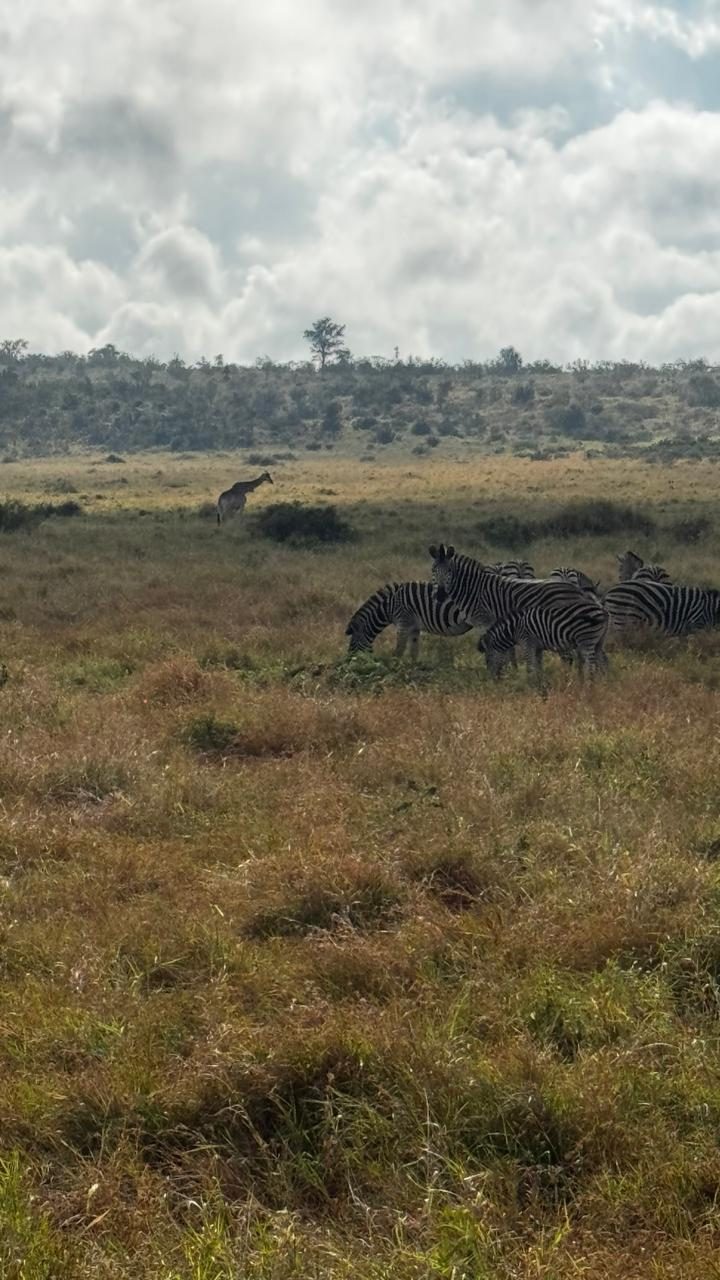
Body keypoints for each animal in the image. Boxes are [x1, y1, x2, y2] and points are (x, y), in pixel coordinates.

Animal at [478, 600, 610, 684]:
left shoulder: (527, 642)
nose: (492, 680)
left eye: (487, 660)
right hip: (598, 642)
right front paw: (541, 683)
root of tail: (602, 610)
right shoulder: (538, 647)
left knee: (591, 665)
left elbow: (530, 667)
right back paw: (603, 684)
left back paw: (589, 687)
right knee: (602, 662)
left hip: (586, 640)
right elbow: (538, 666)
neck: (513, 629)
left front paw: (531, 685)